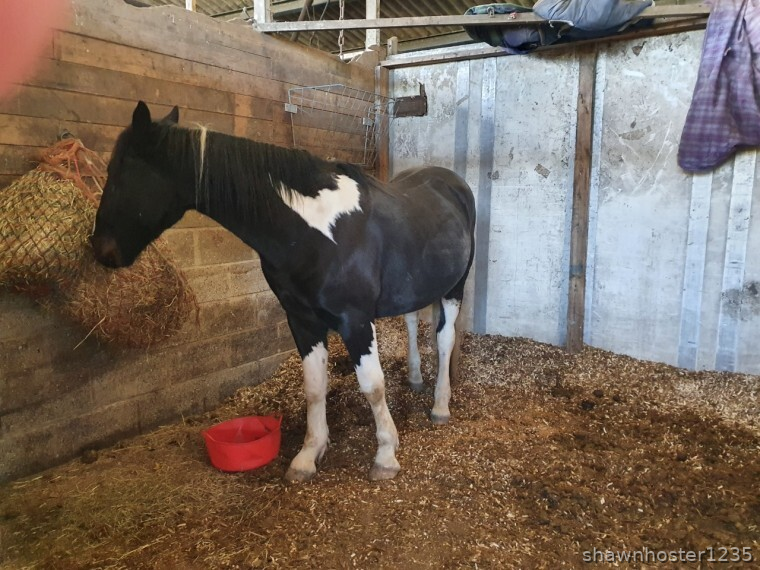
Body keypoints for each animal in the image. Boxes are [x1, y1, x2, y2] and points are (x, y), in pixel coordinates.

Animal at [91, 101, 476, 481]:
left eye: (118, 171)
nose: (101, 250)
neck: (312, 230)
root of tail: (450, 181)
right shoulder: (302, 320)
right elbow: (314, 386)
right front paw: (308, 455)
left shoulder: (355, 320)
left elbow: (372, 385)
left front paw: (385, 454)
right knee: (412, 321)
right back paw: (415, 379)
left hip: (454, 287)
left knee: (444, 340)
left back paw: (440, 406)